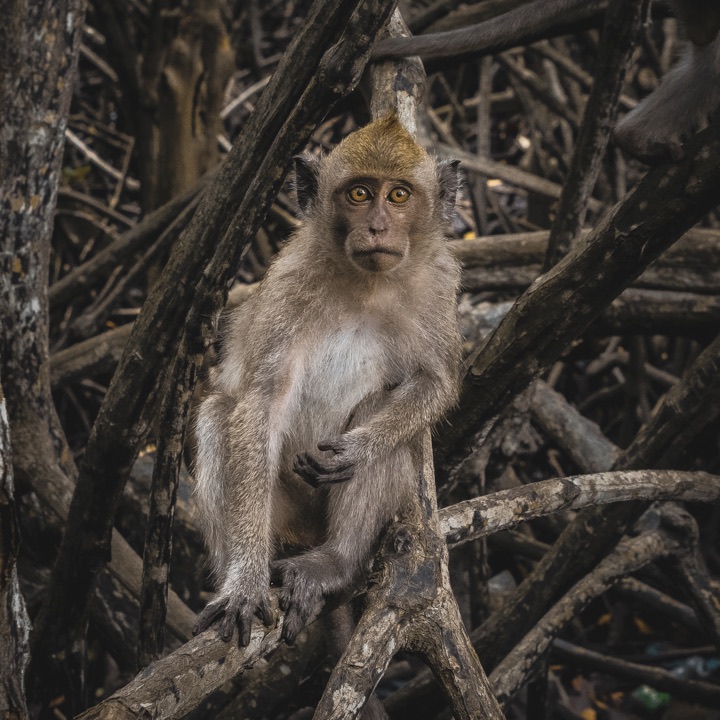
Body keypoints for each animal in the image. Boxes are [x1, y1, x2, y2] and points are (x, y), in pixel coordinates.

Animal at [192, 114, 462, 660]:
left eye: (398, 195)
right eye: (359, 193)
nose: (377, 227)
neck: (365, 282)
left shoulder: (438, 285)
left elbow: (435, 383)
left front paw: (354, 450)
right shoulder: (288, 287)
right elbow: (260, 403)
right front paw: (244, 585)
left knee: (395, 431)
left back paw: (336, 564)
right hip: (284, 516)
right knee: (216, 418)